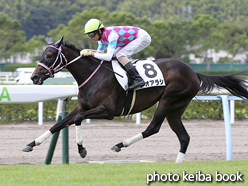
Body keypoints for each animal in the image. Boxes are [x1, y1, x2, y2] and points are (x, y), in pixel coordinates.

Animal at [21, 36, 248, 163]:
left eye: (49, 55)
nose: (34, 77)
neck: (94, 75)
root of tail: (193, 72)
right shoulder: (82, 107)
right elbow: (58, 125)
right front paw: (31, 144)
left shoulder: (108, 111)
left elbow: (76, 121)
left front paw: (82, 150)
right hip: (177, 108)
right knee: (184, 137)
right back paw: (177, 163)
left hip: (168, 100)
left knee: (153, 128)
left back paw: (119, 145)